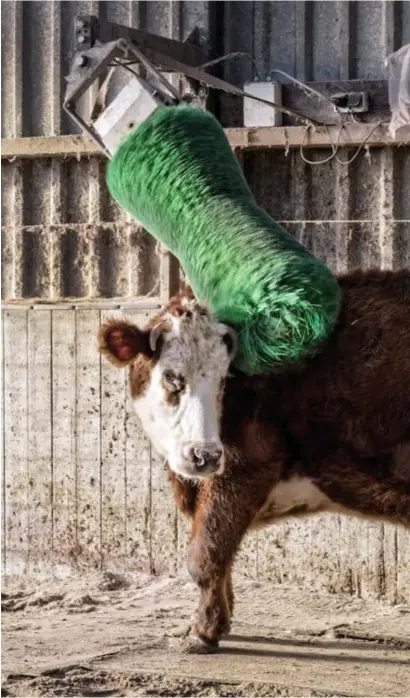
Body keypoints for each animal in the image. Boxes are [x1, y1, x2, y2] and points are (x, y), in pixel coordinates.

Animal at [99, 270, 410, 648]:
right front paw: (219, 620)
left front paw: (203, 631)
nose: (204, 456)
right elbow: (224, 555)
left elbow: (206, 554)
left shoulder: (243, 467)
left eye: (224, 379)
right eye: (172, 377)